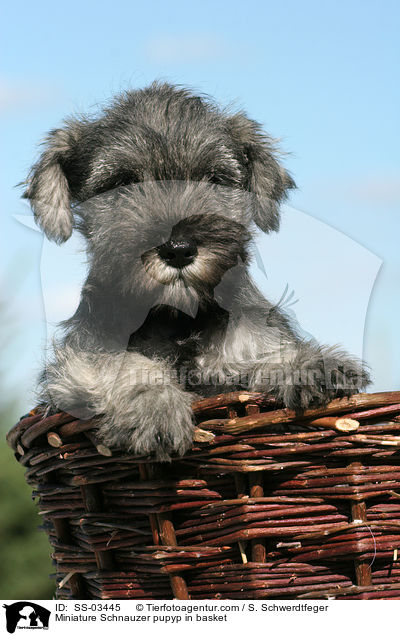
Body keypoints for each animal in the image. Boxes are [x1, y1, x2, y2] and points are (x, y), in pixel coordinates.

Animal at [23, 82, 370, 460]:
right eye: (121, 182)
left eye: (215, 179)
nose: (178, 249)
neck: (180, 319)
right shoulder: (76, 362)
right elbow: (123, 364)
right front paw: (156, 409)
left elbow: (267, 353)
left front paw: (309, 364)